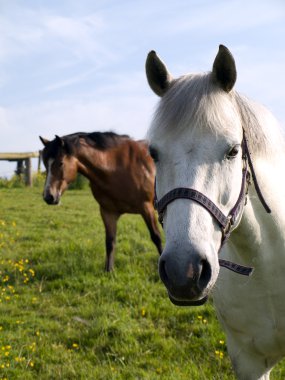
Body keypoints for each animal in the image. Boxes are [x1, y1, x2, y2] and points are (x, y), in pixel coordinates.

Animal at [39, 132, 162, 272]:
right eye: (45, 164)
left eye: (60, 163)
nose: (49, 196)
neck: (117, 167)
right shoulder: (107, 211)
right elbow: (110, 241)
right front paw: (109, 270)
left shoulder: (146, 208)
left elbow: (156, 237)